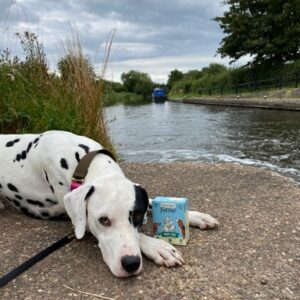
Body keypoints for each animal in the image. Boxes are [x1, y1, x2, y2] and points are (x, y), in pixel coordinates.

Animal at [1, 131, 219, 276]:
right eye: (103, 220)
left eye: (137, 216)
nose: (131, 264)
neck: (83, 161)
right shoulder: (81, 221)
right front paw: (158, 247)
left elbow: (151, 202)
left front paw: (195, 216)